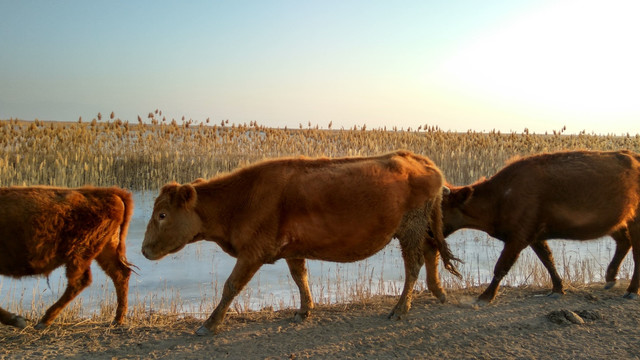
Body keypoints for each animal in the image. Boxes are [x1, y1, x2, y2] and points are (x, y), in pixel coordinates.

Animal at [0, 186, 133, 330]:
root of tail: (108, 192)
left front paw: (17, 320)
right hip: (105, 248)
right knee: (120, 274)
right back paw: (118, 319)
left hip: (79, 253)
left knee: (79, 281)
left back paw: (44, 321)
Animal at [141, 150, 460, 336]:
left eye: (162, 214)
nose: (143, 249)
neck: (241, 199)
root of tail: (421, 160)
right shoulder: (292, 250)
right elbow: (300, 277)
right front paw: (305, 310)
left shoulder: (252, 253)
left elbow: (231, 286)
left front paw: (209, 324)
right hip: (420, 228)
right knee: (431, 252)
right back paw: (439, 292)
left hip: (411, 228)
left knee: (413, 265)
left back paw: (401, 309)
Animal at [442, 149, 640, 304]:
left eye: (440, 208)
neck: (500, 196)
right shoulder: (535, 237)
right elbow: (548, 260)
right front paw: (557, 289)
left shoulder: (518, 238)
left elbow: (501, 266)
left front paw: (485, 297)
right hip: (617, 223)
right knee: (624, 243)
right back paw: (611, 279)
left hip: (635, 221)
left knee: (635, 253)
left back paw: (631, 291)